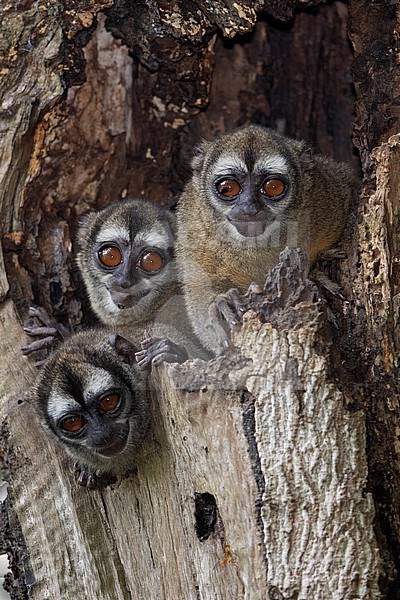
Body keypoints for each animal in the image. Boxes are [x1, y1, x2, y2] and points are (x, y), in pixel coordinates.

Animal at [177, 123, 354, 354]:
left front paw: (316, 278)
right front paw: (224, 305)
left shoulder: (329, 191)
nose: (249, 208)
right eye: (228, 188)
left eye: (273, 186)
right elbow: (198, 291)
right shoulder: (192, 228)